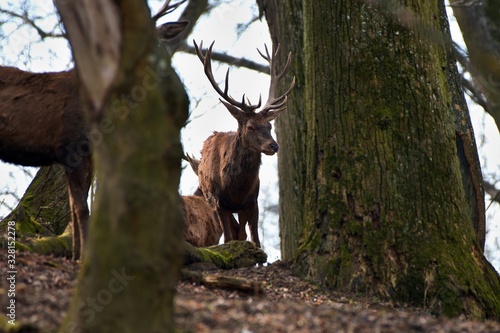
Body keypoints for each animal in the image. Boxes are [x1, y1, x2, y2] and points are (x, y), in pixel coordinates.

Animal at [0, 0, 188, 260]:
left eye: (161, 37)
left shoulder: (86, 153)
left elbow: (73, 205)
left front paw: (75, 253)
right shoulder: (70, 146)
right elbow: (81, 207)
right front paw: (83, 256)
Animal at [191, 39, 292, 246]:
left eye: (270, 125)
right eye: (250, 127)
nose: (274, 146)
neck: (236, 189)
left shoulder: (253, 201)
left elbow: (255, 239)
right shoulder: (219, 202)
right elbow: (229, 238)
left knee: (242, 233)